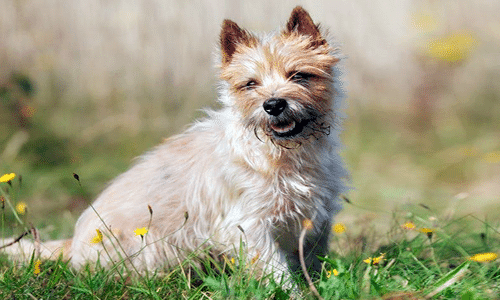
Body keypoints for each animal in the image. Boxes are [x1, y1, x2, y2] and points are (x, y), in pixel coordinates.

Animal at [4, 5, 348, 284]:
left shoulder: (316, 220)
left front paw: (320, 285)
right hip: (151, 248)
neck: (286, 154)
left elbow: (313, 262)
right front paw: (294, 293)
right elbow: (276, 272)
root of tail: (73, 245)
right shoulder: (249, 225)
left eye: (299, 76)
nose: (273, 105)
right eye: (250, 84)